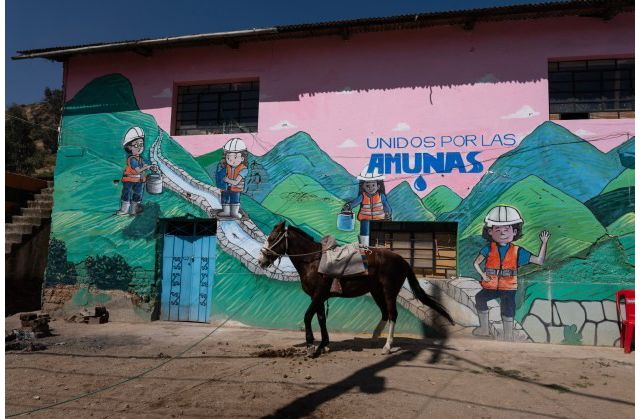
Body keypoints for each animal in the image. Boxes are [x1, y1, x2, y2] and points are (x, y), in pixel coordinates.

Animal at [258, 221, 452, 356]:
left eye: (272, 238)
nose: (261, 261)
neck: (313, 261)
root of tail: (402, 260)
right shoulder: (318, 297)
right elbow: (321, 319)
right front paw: (324, 344)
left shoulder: (318, 295)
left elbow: (307, 317)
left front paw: (311, 346)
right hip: (376, 292)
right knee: (384, 313)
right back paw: (374, 338)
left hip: (389, 291)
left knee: (392, 314)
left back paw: (387, 346)